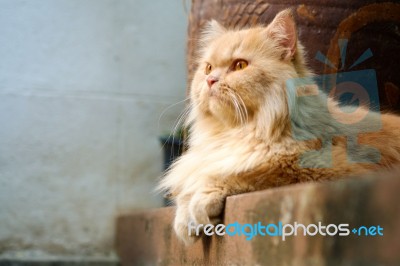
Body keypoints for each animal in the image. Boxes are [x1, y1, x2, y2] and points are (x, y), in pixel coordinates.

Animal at [158, 9, 400, 244]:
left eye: (240, 65)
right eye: (208, 68)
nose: (211, 80)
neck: (238, 132)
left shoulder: (323, 170)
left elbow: (244, 175)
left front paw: (201, 203)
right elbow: (191, 186)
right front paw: (184, 218)